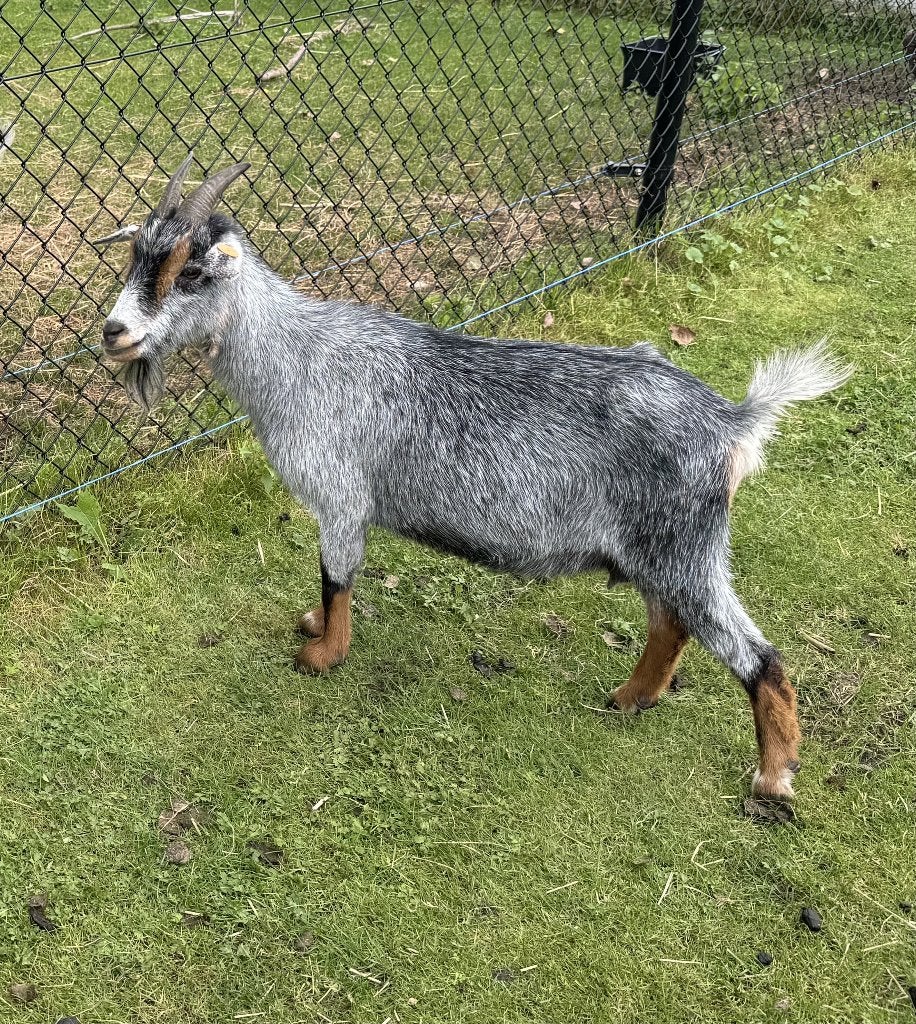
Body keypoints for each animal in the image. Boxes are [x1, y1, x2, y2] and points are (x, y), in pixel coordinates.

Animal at [100, 156, 851, 803]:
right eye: (137, 257)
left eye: (192, 272)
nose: (112, 331)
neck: (297, 357)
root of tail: (731, 422)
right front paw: (314, 626)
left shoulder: (341, 499)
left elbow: (337, 577)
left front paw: (323, 652)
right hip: (655, 549)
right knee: (671, 626)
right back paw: (629, 699)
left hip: (684, 546)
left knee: (759, 657)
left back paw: (773, 778)